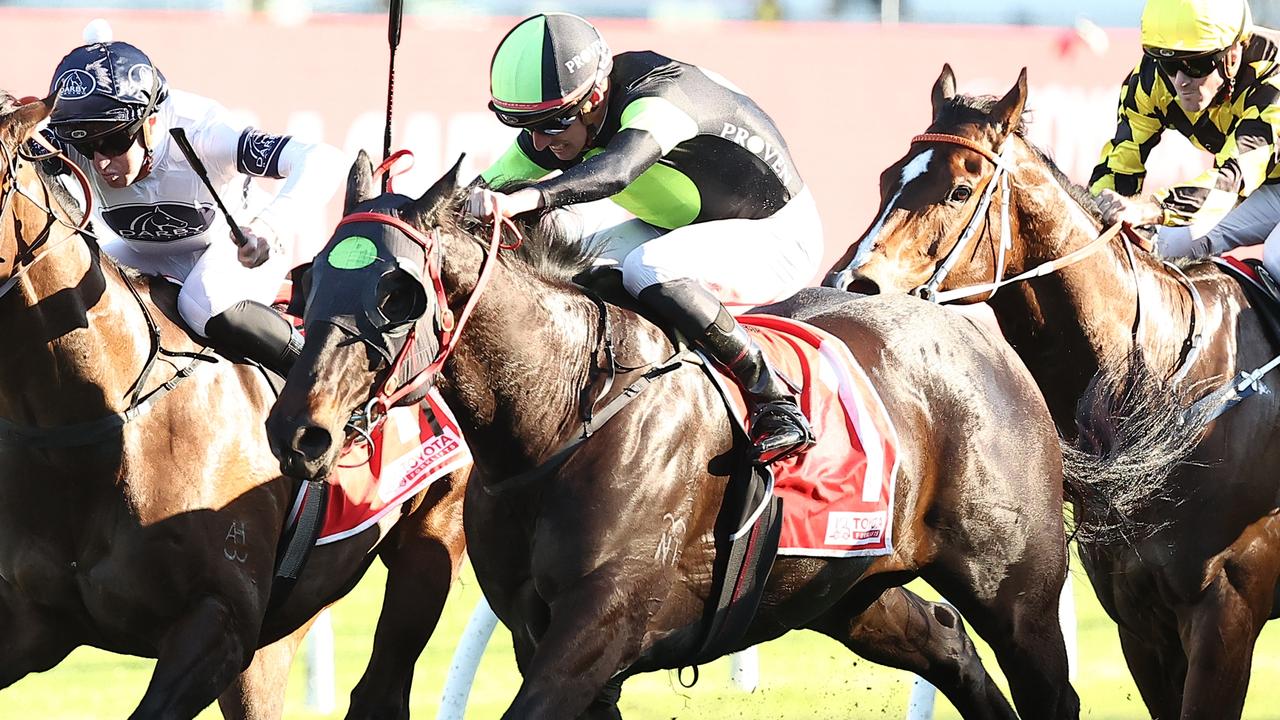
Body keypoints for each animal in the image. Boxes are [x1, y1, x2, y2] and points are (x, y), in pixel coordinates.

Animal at [267, 151, 1090, 717]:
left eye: (397, 292)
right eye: (307, 280)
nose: (298, 431)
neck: (564, 415)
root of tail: (978, 334)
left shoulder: (598, 628)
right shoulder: (543, 637)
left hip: (1017, 593)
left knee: (1048, 688)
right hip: (844, 590)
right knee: (946, 642)